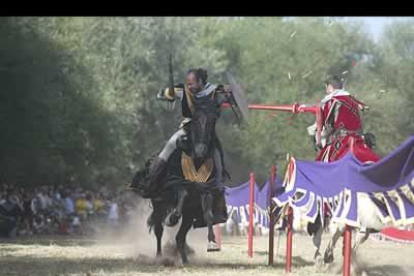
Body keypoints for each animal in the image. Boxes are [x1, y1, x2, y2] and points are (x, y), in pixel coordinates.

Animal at [132, 94, 230, 264]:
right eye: (195, 120)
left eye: (213, 120)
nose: (201, 150)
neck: (196, 160)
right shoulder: (174, 186)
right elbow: (182, 193)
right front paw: (172, 218)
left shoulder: (206, 191)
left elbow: (209, 215)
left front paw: (212, 243)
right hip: (159, 205)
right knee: (159, 229)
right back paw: (160, 257)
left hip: (189, 216)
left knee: (179, 237)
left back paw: (184, 260)